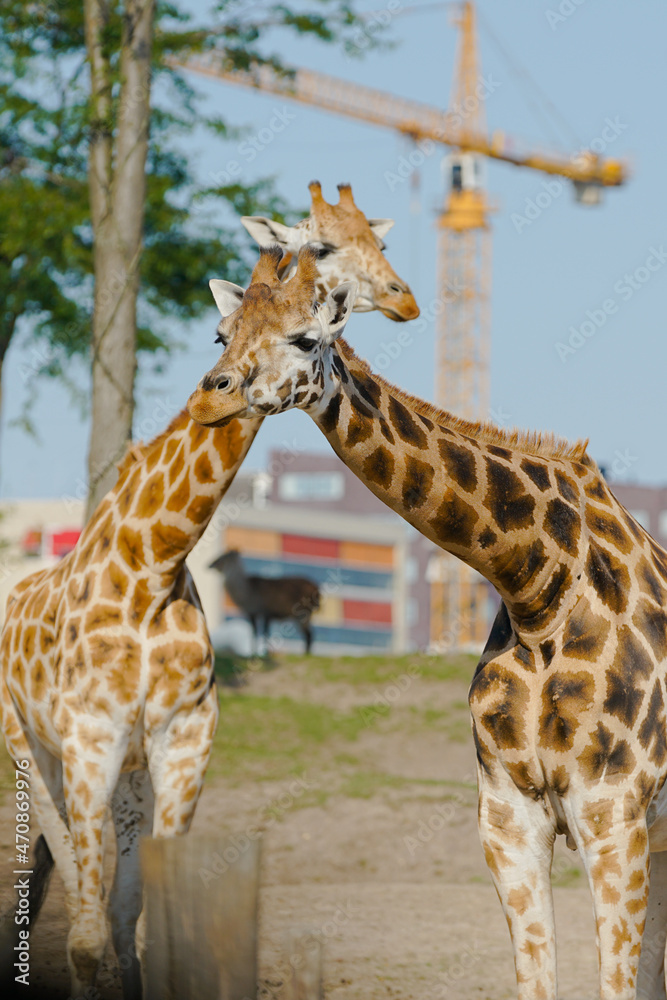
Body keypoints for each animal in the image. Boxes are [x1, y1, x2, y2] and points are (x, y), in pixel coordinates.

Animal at [0, 187, 418, 999]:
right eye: (220, 331)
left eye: (306, 338)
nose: (212, 399)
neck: (152, 565)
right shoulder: (89, 741)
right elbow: (89, 937)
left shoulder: (182, 743)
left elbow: (147, 927)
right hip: (30, 749)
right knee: (50, 875)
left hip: (122, 775)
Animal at [188, 243, 667, 1000]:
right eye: (221, 335)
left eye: (306, 339)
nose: (213, 394)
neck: (538, 588)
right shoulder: (508, 818)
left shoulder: (611, 811)